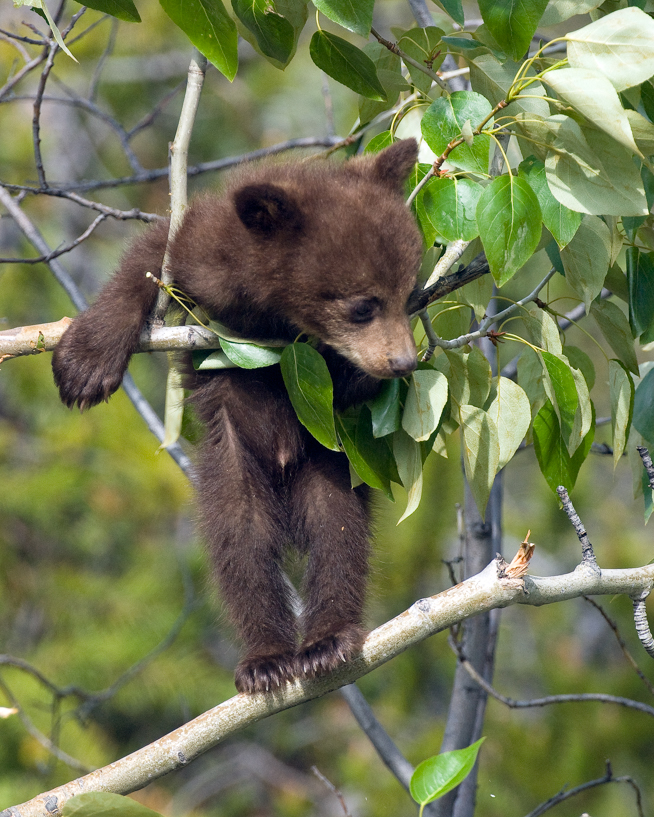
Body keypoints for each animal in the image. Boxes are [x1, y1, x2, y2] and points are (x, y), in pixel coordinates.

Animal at [52, 138, 422, 694]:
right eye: (363, 306)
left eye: (408, 294)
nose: (403, 363)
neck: (271, 306)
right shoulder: (206, 251)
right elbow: (146, 262)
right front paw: (84, 365)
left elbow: (347, 390)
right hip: (231, 460)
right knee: (240, 541)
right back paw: (267, 657)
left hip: (326, 459)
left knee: (337, 531)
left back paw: (326, 641)